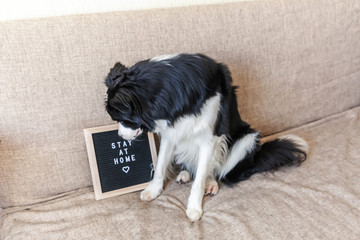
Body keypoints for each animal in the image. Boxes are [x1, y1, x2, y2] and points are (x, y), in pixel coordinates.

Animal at [103, 54, 306, 221]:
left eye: (121, 119)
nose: (120, 136)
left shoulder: (210, 139)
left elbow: (199, 179)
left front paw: (194, 208)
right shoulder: (171, 134)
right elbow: (160, 165)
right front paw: (153, 190)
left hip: (247, 139)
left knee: (219, 170)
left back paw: (212, 183)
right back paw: (185, 173)